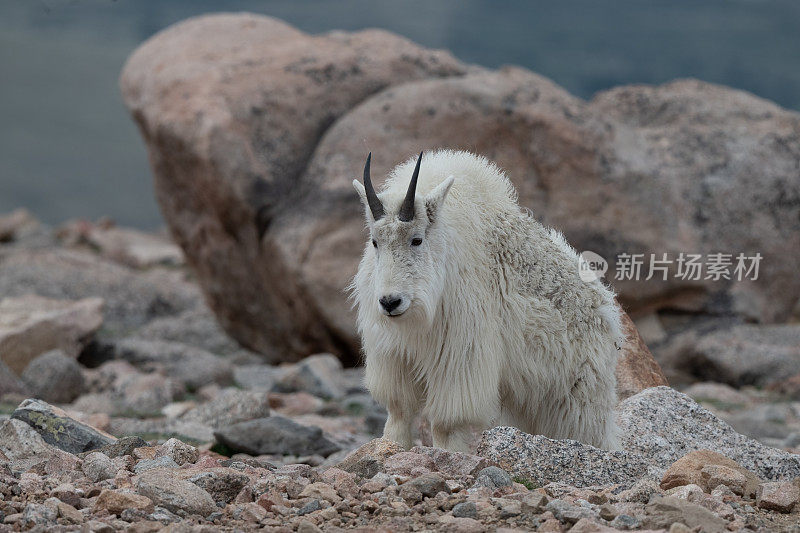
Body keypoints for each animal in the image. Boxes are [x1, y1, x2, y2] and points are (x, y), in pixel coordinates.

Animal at [352, 151, 624, 454]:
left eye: (417, 239)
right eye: (375, 242)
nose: (390, 302)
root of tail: (607, 305)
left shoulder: (461, 355)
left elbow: (447, 424)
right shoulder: (394, 356)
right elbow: (398, 415)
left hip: (579, 396)